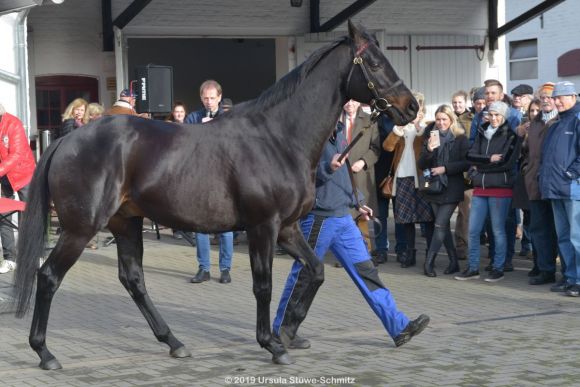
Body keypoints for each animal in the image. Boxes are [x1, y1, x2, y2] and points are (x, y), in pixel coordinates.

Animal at [11, 20, 414, 370]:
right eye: (374, 63)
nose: (410, 107)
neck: (277, 138)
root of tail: (66, 140)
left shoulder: (287, 228)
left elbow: (314, 271)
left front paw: (288, 330)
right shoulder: (263, 227)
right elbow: (263, 285)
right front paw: (272, 344)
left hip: (126, 223)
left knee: (134, 280)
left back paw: (174, 342)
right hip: (81, 228)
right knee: (48, 276)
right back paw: (45, 353)